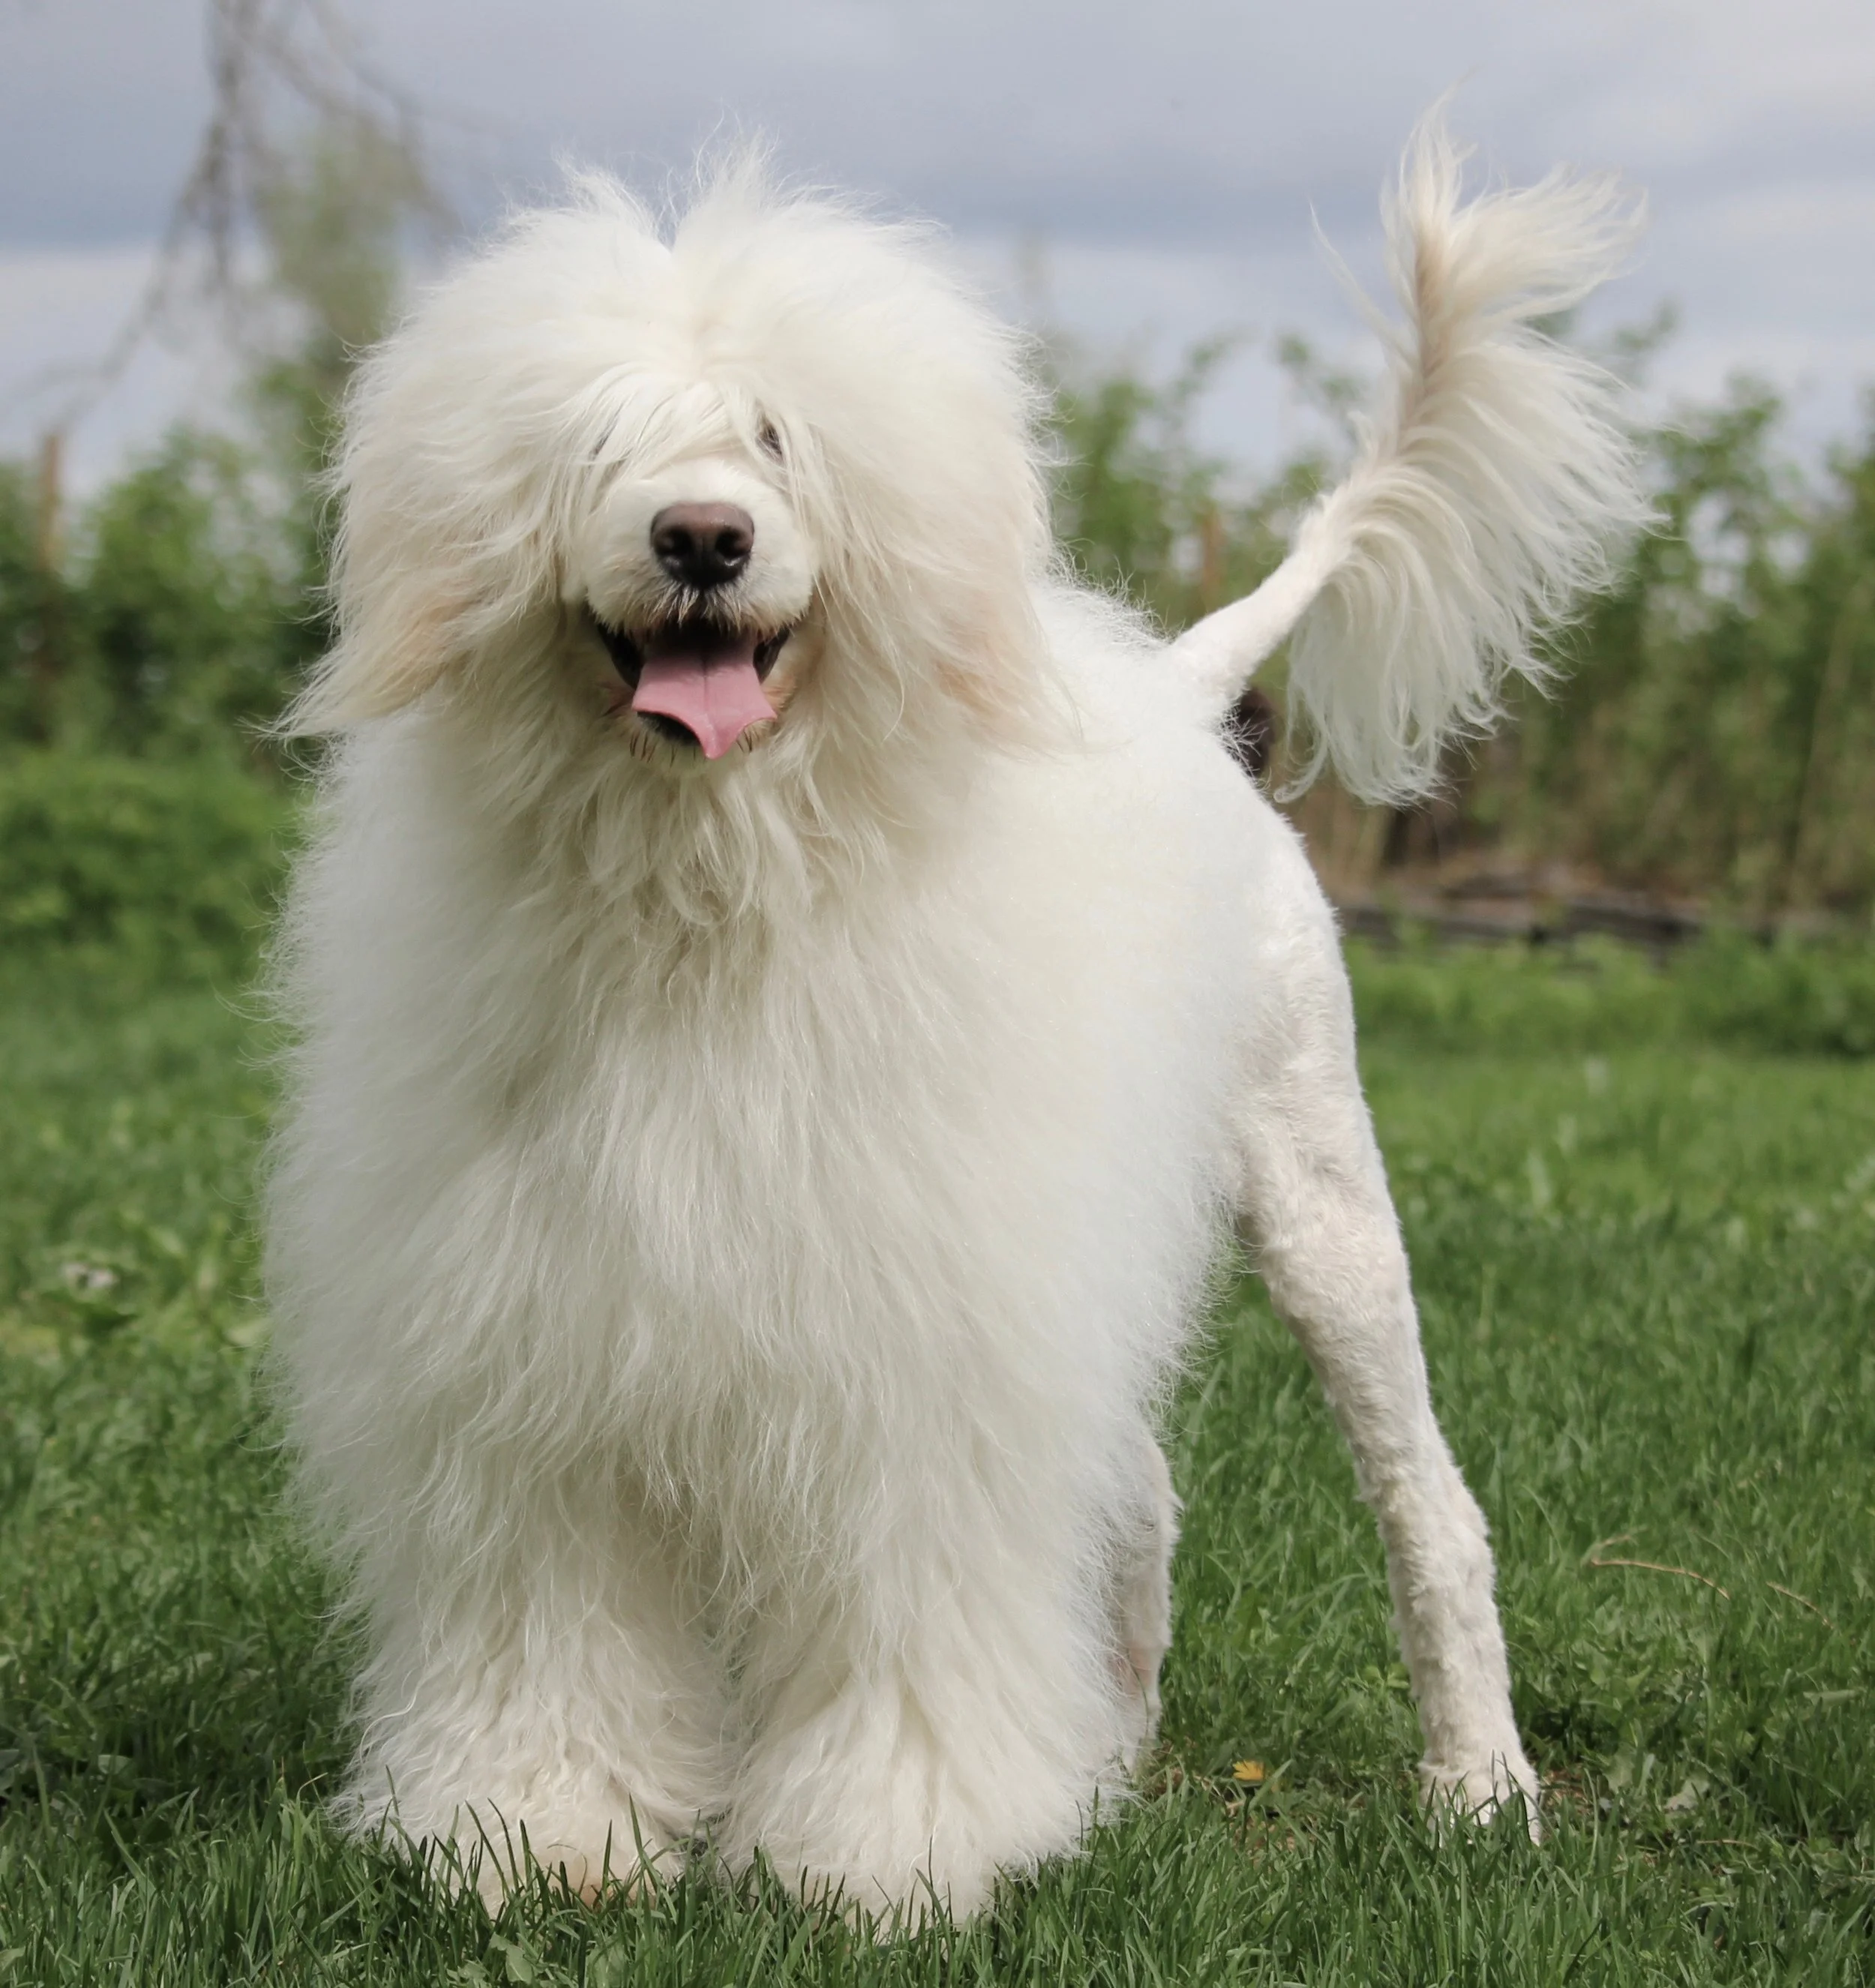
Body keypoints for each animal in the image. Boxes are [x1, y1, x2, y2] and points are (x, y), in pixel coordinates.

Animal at [266, 115, 1645, 1922]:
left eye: (777, 438)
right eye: (601, 443)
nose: (700, 538)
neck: (711, 896)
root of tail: (1184, 693)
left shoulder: (911, 1371)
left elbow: (905, 1638)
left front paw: (875, 1861)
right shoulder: (536, 1368)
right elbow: (550, 1644)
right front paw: (536, 1837)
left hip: (1321, 1201)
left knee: (1430, 1511)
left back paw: (1477, 1786)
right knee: (1139, 1503)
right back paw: (1103, 1762)